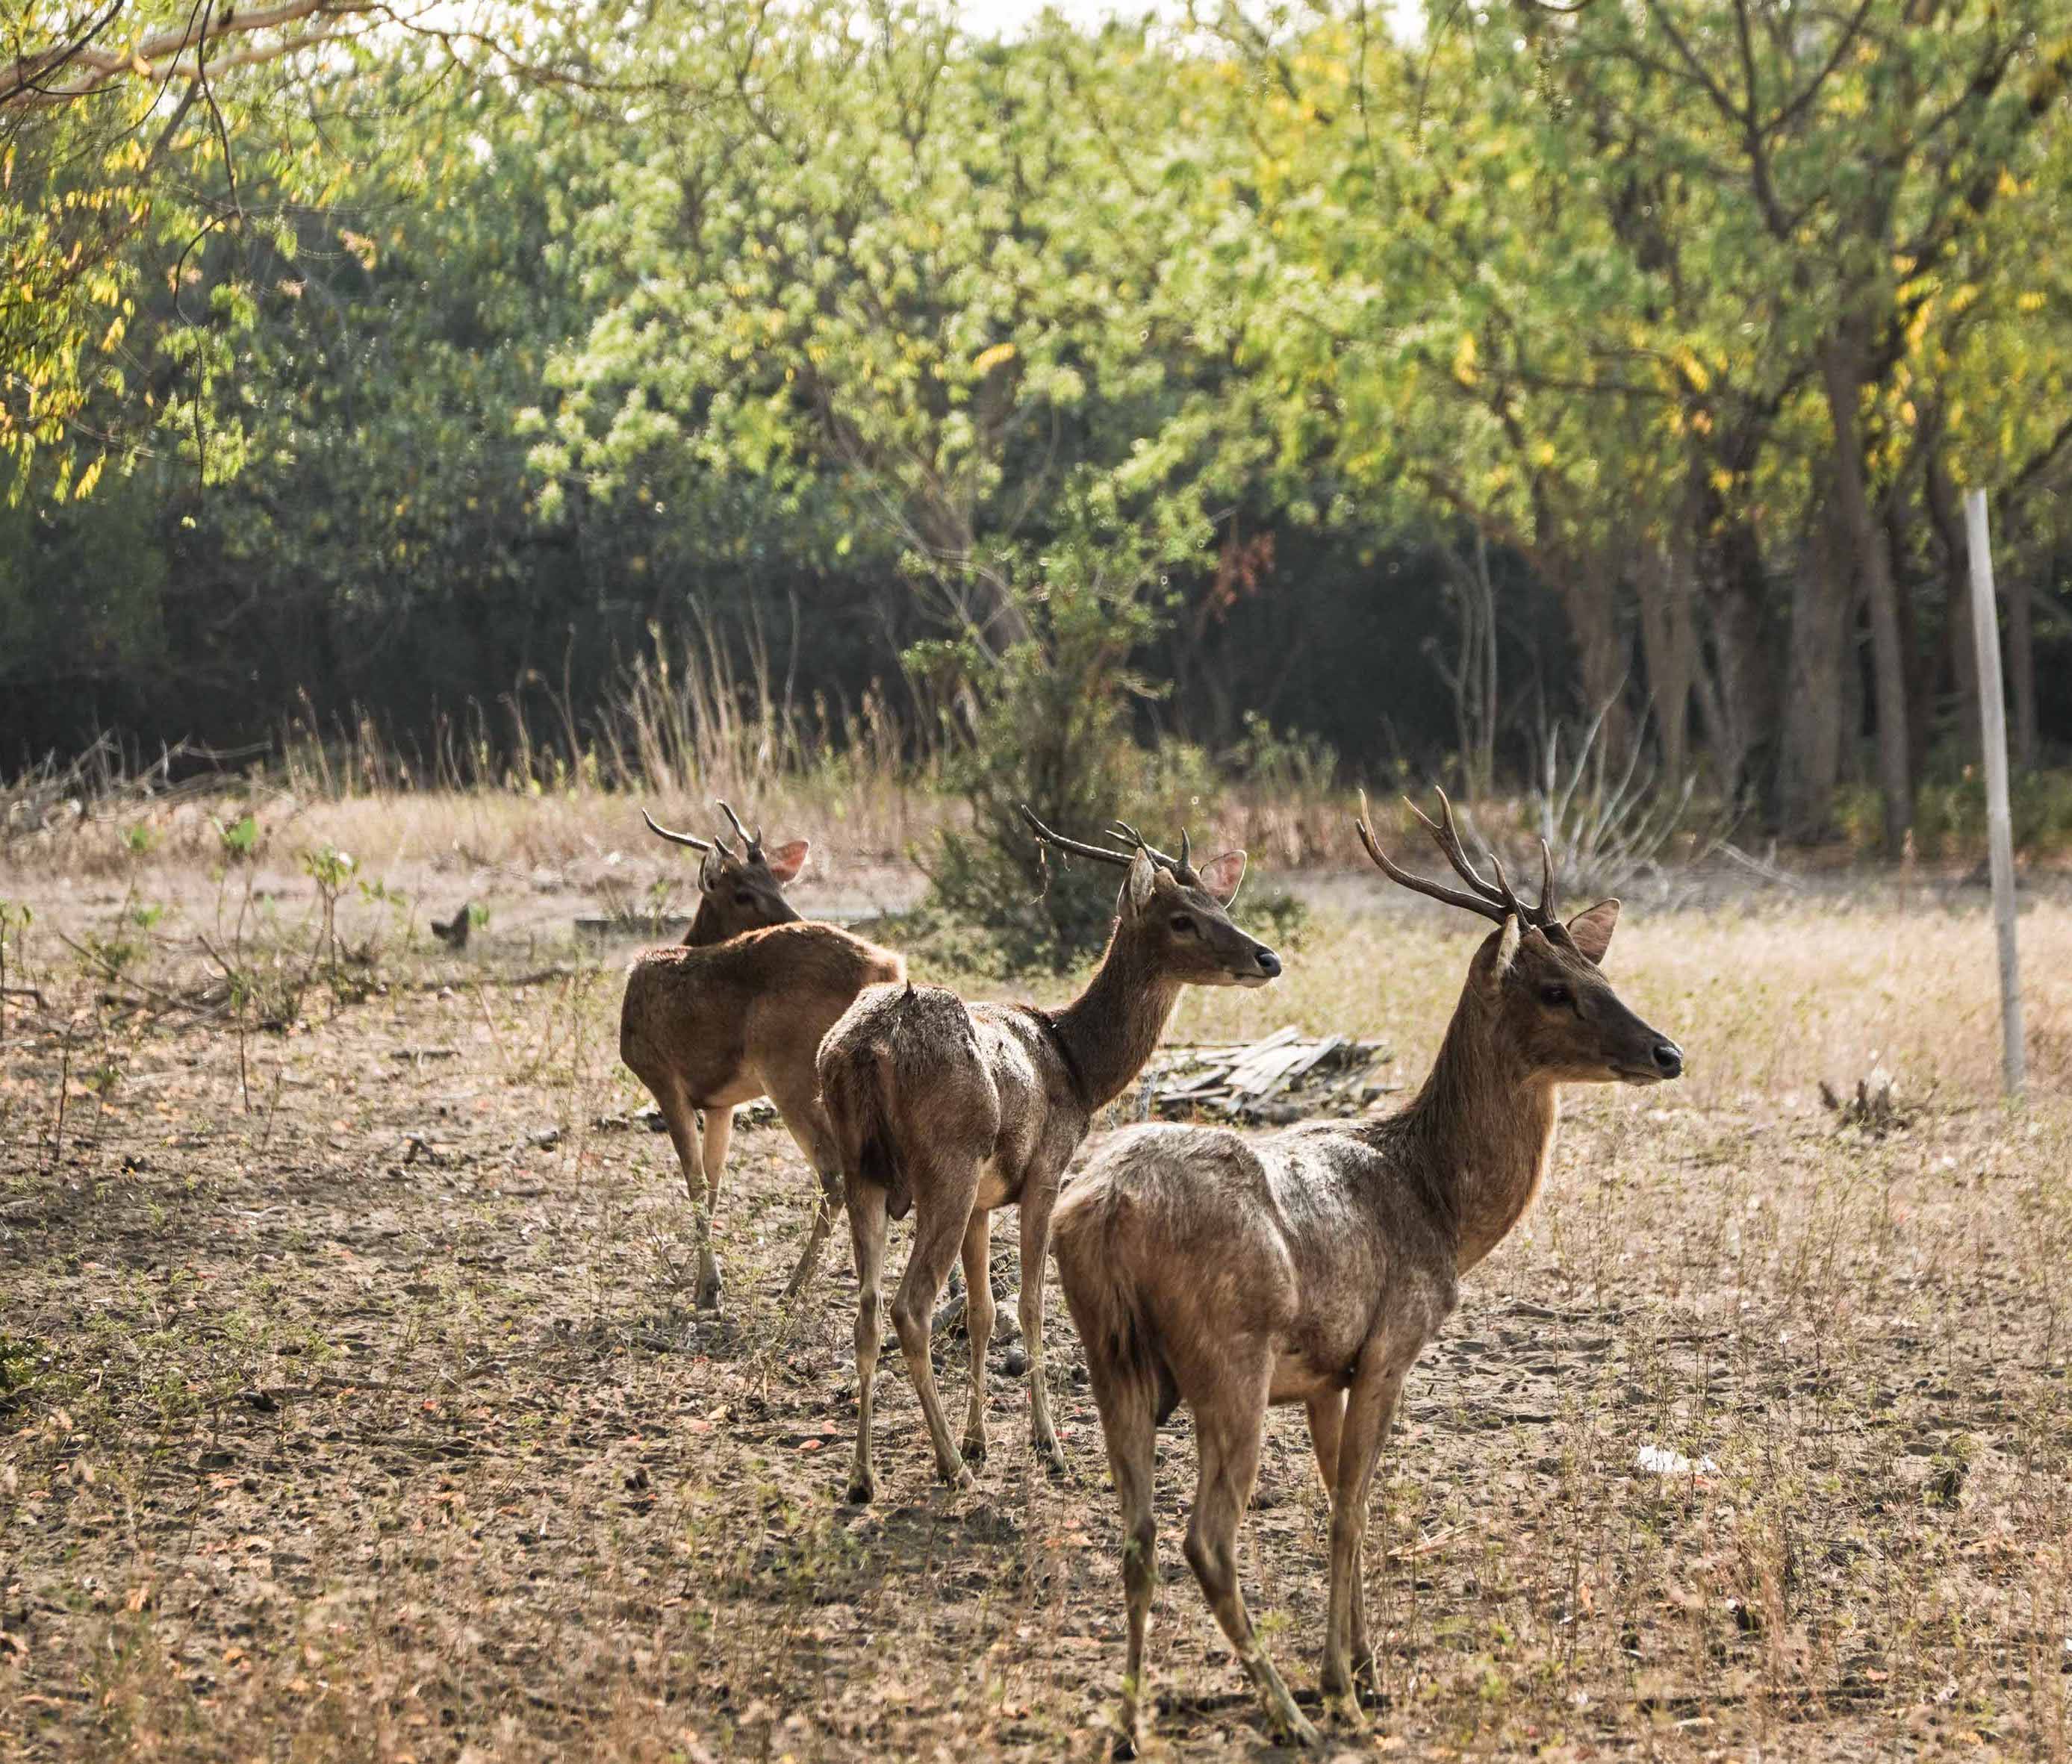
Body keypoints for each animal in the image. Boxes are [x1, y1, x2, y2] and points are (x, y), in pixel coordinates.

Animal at [620, 803, 903, 1311]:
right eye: (744, 891)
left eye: (778, 883)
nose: (793, 915)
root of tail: (887, 966)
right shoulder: (721, 1102)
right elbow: (713, 1183)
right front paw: (703, 1284)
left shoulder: (662, 1077)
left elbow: (694, 1183)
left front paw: (709, 1290)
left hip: (792, 1070)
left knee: (834, 1174)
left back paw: (792, 1289)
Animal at [816, 808, 1283, 1506]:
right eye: (1181, 917)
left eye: (1218, 902)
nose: (1267, 956)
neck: (1079, 1066)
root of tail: (866, 1052)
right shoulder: (1045, 1170)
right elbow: (1035, 1303)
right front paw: (1045, 1445)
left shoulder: (985, 1201)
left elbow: (983, 1312)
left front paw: (982, 1439)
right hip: (945, 1165)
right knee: (909, 1306)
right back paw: (949, 1468)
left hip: (862, 1171)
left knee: (867, 1310)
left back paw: (863, 1477)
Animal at [1053, 793, 1684, 1753]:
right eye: (1555, 988)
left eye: (1601, 971)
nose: (1666, 1052)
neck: (1441, 1207)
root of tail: (1107, 1207)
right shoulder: (1391, 1342)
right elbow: (1351, 1502)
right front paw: (1344, 1684)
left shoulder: (1323, 1373)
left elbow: (1337, 1494)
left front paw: (1366, 1665)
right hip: (1228, 1356)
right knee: (1206, 1537)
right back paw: (1289, 1714)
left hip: (1109, 1354)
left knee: (1138, 1533)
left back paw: (1127, 1724)